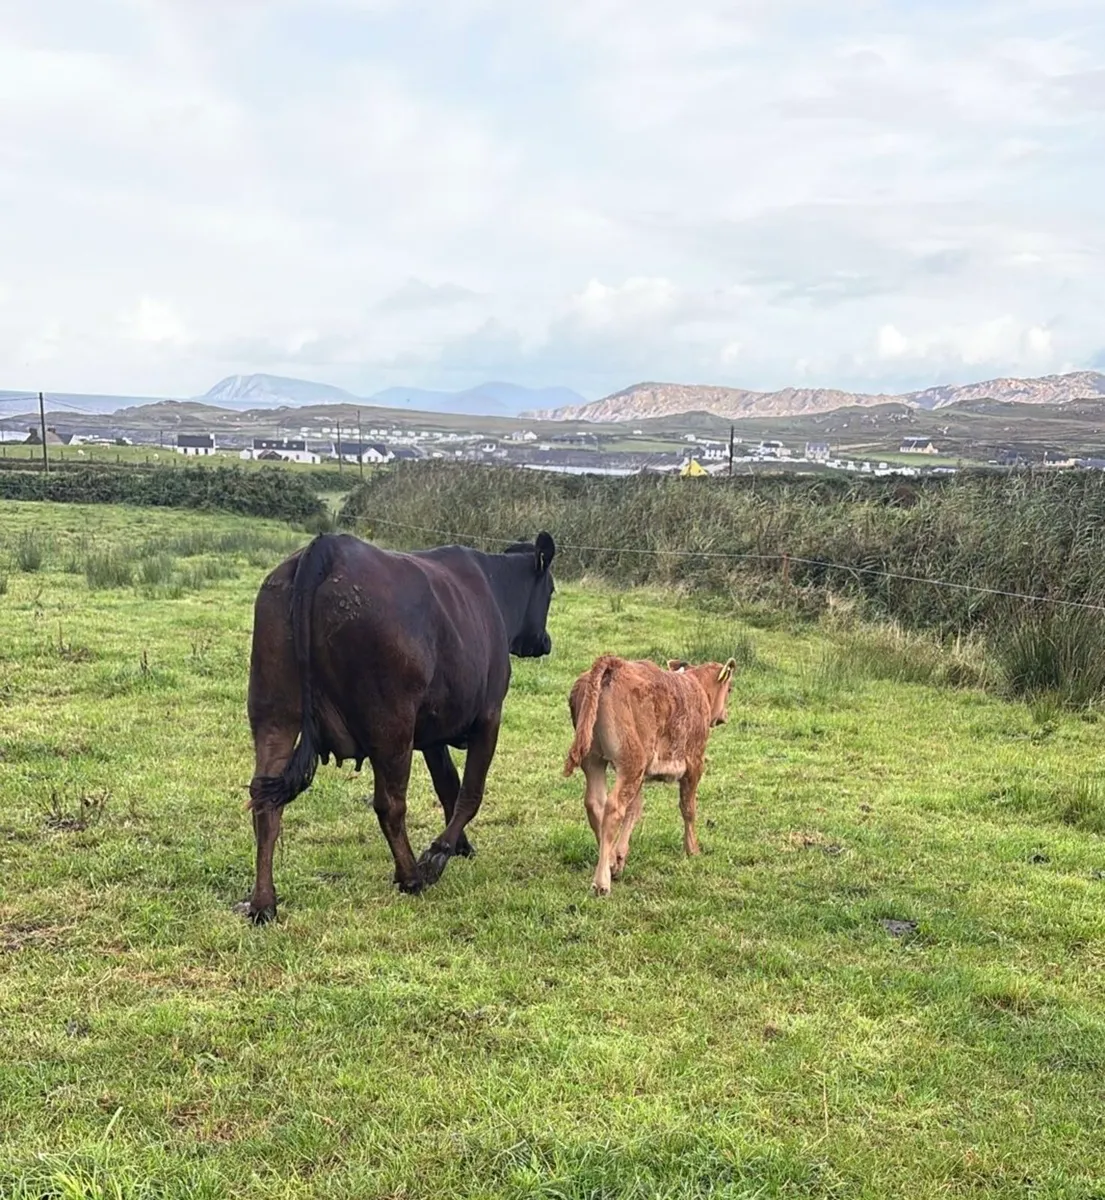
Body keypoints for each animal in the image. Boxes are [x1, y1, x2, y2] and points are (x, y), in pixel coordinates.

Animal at [242, 529, 556, 923]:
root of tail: (330, 546)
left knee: (264, 803)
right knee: (390, 805)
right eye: (552, 590)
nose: (546, 642)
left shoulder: (433, 732)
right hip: (391, 728)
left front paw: (460, 846)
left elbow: (448, 787)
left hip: (274, 714)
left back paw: (263, 902)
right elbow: (470, 793)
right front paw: (438, 854)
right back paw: (410, 876)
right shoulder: (489, 716)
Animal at [564, 655, 737, 896]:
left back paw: (608, 862)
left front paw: (619, 858)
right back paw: (601, 883)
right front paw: (692, 849)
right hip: (630, 763)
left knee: (595, 803)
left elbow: (635, 810)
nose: (724, 716)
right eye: (729, 688)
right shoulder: (694, 763)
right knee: (613, 808)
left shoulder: (641, 775)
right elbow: (688, 808)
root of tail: (613, 665)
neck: (695, 686)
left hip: (595, 760)